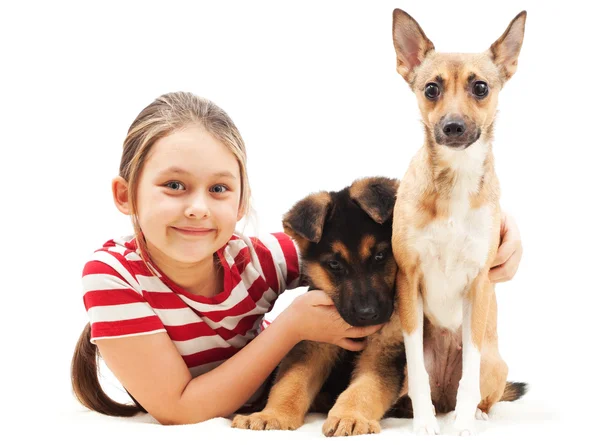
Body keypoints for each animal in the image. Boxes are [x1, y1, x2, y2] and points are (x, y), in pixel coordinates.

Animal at [232, 177, 410, 434]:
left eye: (380, 256)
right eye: (334, 264)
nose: (368, 315)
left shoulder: (383, 351)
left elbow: (365, 389)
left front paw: (350, 416)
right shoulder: (312, 344)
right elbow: (290, 383)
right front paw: (272, 415)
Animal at [390, 8, 524, 436]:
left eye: (480, 87)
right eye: (431, 89)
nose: (452, 127)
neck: (455, 179)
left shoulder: (479, 283)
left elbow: (470, 374)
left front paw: (464, 423)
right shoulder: (409, 281)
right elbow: (418, 373)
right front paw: (424, 423)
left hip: (496, 363)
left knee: (478, 387)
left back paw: (473, 412)